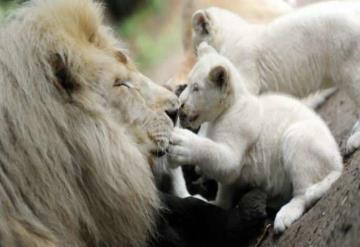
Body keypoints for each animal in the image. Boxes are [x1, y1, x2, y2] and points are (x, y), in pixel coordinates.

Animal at [169, 44, 344, 233]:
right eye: (187, 84)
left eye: (196, 88)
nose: (180, 103)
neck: (224, 112)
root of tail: (338, 162)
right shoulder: (231, 177)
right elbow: (224, 189)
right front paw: (215, 203)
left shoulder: (236, 145)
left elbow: (218, 156)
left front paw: (182, 145)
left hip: (297, 138)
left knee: (303, 192)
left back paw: (284, 215)